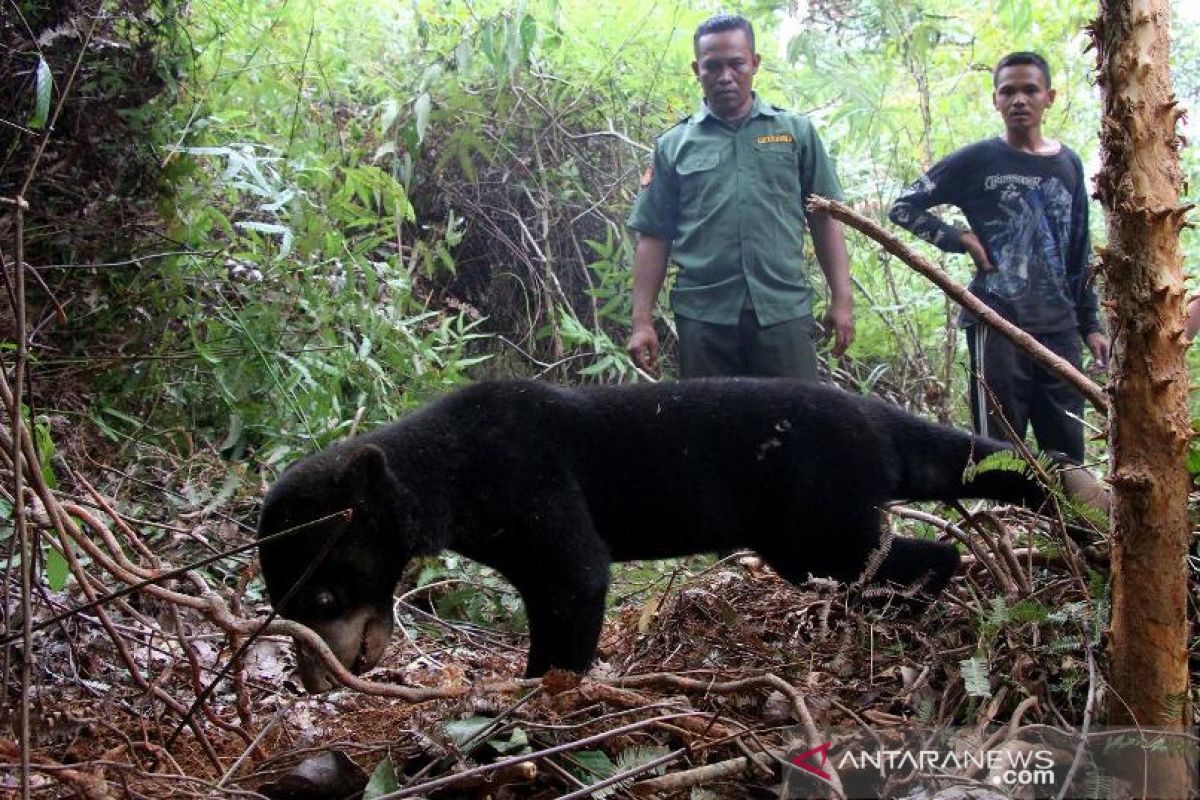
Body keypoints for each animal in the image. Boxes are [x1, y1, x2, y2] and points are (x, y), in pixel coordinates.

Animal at [258, 379, 1075, 690]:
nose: (315, 679)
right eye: (281, 603)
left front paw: (541, 698)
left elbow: (574, 590)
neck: (452, 473)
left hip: (816, 520)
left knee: (927, 553)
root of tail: (874, 415)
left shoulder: (537, 492)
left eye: (324, 593)